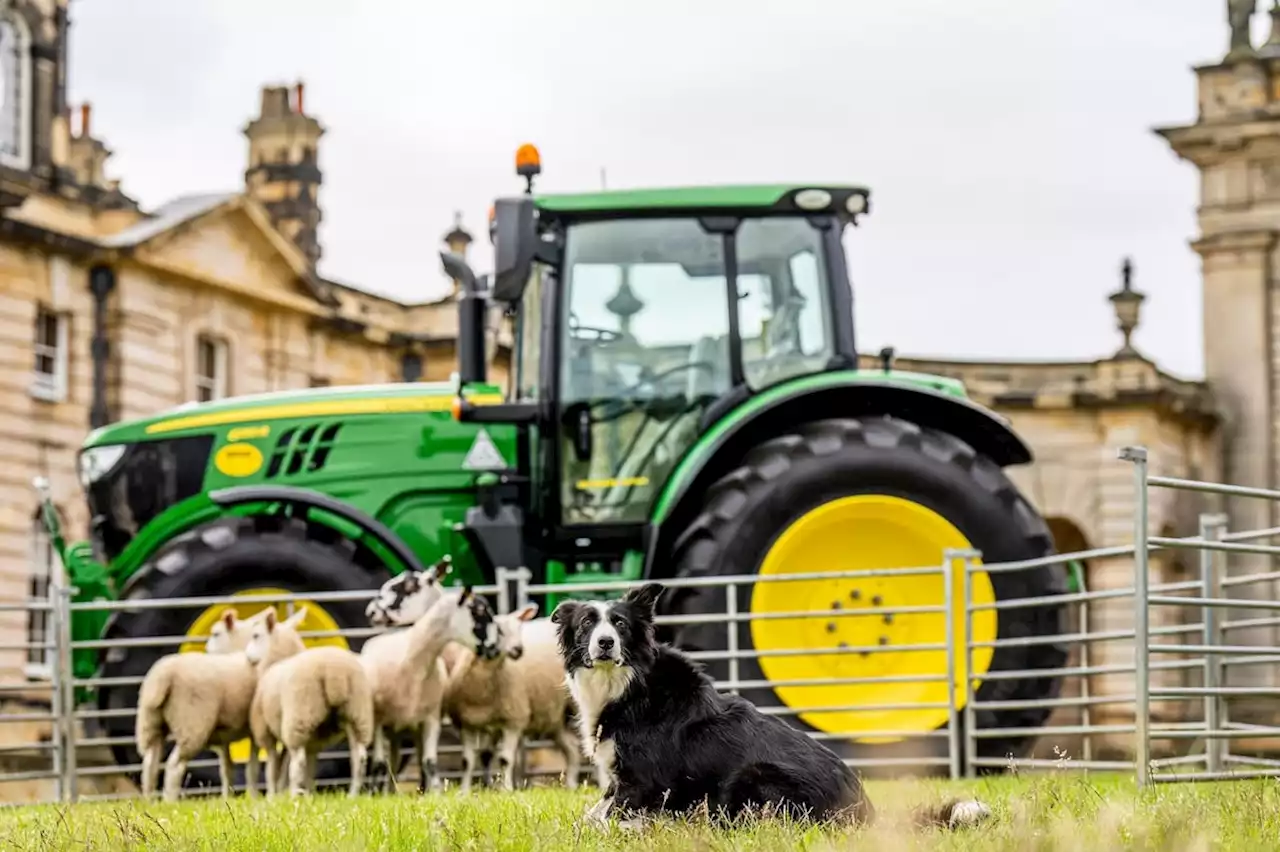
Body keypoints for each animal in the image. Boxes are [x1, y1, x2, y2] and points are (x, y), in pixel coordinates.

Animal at [135, 603, 307, 798]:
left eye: (216, 634)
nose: (207, 650)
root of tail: (162, 676)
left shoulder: (227, 736)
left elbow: (228, 768)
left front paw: (230, 796)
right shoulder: (257, 728)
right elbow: (255, 767)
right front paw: (259, 796)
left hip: (151, 723)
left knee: (150, 763)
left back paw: (149, 799)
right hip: (192, 723)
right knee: (174, 766)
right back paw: (170, 800)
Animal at [363, 578, 501, 788]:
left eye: (408, 586)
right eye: (478, 611)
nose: (495, 648)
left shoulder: (432, 719)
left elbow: (430, 763)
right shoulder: (381, 722)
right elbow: (379, 765)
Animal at [440, 603, 609, 788]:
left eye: (519, 628)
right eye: (498, 630)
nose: (518, 650)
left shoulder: (513, 720)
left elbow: (505, 759)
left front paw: (506, 788)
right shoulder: (470, 724)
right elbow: (471, 760)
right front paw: (470, 789)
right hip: (555, 717)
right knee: (571, 749)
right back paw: (571, 785)